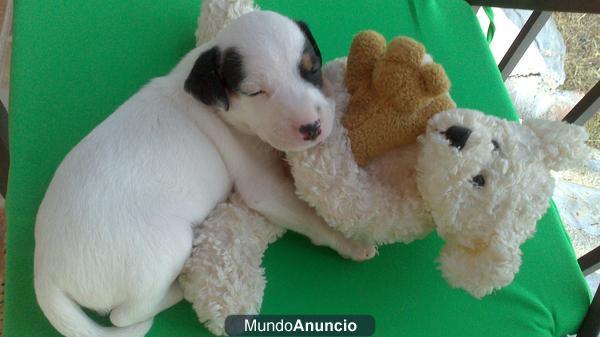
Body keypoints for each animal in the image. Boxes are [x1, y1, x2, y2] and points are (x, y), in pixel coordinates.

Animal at [32, 10, 376, 336]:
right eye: (254, 92)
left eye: (311, 68)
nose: (312, 128)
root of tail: (45, 274)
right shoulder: (263, 188)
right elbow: (309, 218)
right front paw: (349, 242)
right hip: (168, 245)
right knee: (124, 316)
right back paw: (178, 288)